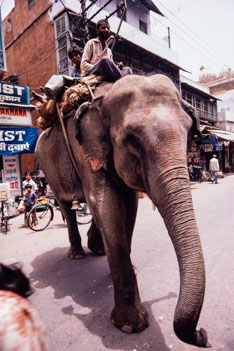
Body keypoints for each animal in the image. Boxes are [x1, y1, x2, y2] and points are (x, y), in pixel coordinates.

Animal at [34, 75, 210, 350]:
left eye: (188, 133)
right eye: (132, 141)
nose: (203, 334)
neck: (103, 98)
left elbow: (127, 206)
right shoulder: (83, 150)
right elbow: (106, 203)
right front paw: (129, 325)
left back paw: (97, 249)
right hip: (48, 167)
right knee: (66, 207)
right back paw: (77, 254)